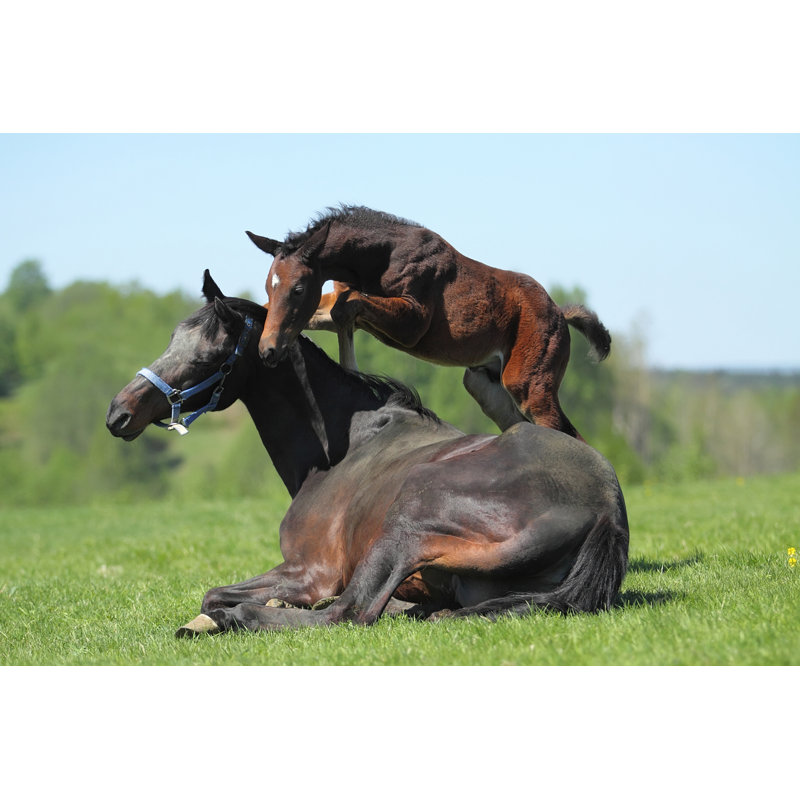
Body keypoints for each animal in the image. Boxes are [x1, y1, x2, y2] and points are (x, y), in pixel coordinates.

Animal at [106, 271, 629, 637]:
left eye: (208, 357)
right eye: (172, 339)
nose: (119, 413)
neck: (343, 451)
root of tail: (605, 509)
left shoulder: (310, 572)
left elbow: (214, 595)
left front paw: (226, 614)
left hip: (409, 517)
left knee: (346, 612)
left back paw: (247, 616)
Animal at [247, 205, 612, 440]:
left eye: (298, 289)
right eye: (268, 285)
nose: (267, 351)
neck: (380, 255)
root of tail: (559, 313)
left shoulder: (413, 322)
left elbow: (346, 308)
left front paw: (354, 377)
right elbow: (334, 309)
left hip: (528, 385)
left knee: (567, 433)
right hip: (484, 384)